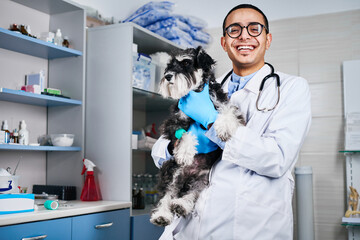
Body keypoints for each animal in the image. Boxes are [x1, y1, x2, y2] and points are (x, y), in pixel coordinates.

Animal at [149, 45, 245, 227]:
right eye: (169, 65)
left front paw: (223, 127)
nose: (168, 76)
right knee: (168, 193)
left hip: (202, 179)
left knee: (192, 192)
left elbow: (227, 112)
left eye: (186, 62)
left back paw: (181, 205)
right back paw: (162, 214)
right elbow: (184, 134)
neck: (198, 92)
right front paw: (185, 152)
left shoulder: (224, 104)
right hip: (172, 170)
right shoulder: (174, 122)